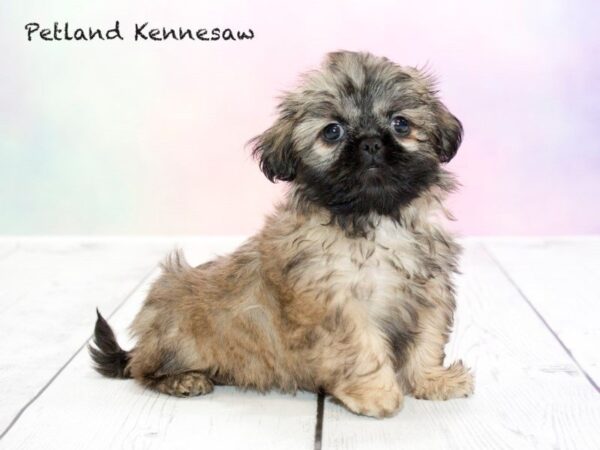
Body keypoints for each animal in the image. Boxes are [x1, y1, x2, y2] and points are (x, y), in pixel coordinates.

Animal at [89, 50, 474, 418]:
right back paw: (183, 379)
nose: (370, 144)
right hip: (177, 338)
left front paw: (431, 381)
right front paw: (376, 394)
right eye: (332, 131)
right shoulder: (334, 307)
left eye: (401, 124)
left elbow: (426, 342)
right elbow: (360, 348)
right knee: (142, 370)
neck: (372, 218)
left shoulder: (428, 293)